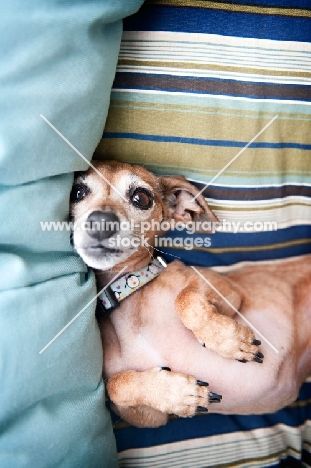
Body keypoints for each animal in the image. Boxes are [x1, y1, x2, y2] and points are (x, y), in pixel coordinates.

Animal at [70, 160, 311, 428]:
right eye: (77, 192)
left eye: (141, 198)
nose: (101, 222)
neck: (132, 288)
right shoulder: (149, 418)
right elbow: (115, 386)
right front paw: (178, 393)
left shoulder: (229, 290)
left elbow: (185, 298)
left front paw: (231, 341)